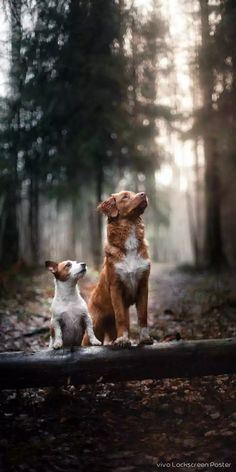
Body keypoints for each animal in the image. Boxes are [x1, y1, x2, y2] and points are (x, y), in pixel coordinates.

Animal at [86, 189, 153, 346]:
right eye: (125, 197)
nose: (143, 193)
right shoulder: (115, 287)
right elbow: (120, 316)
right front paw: (122, 339)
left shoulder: (143, 284)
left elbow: (143, 315)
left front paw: (144, 338)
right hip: (94, 324)